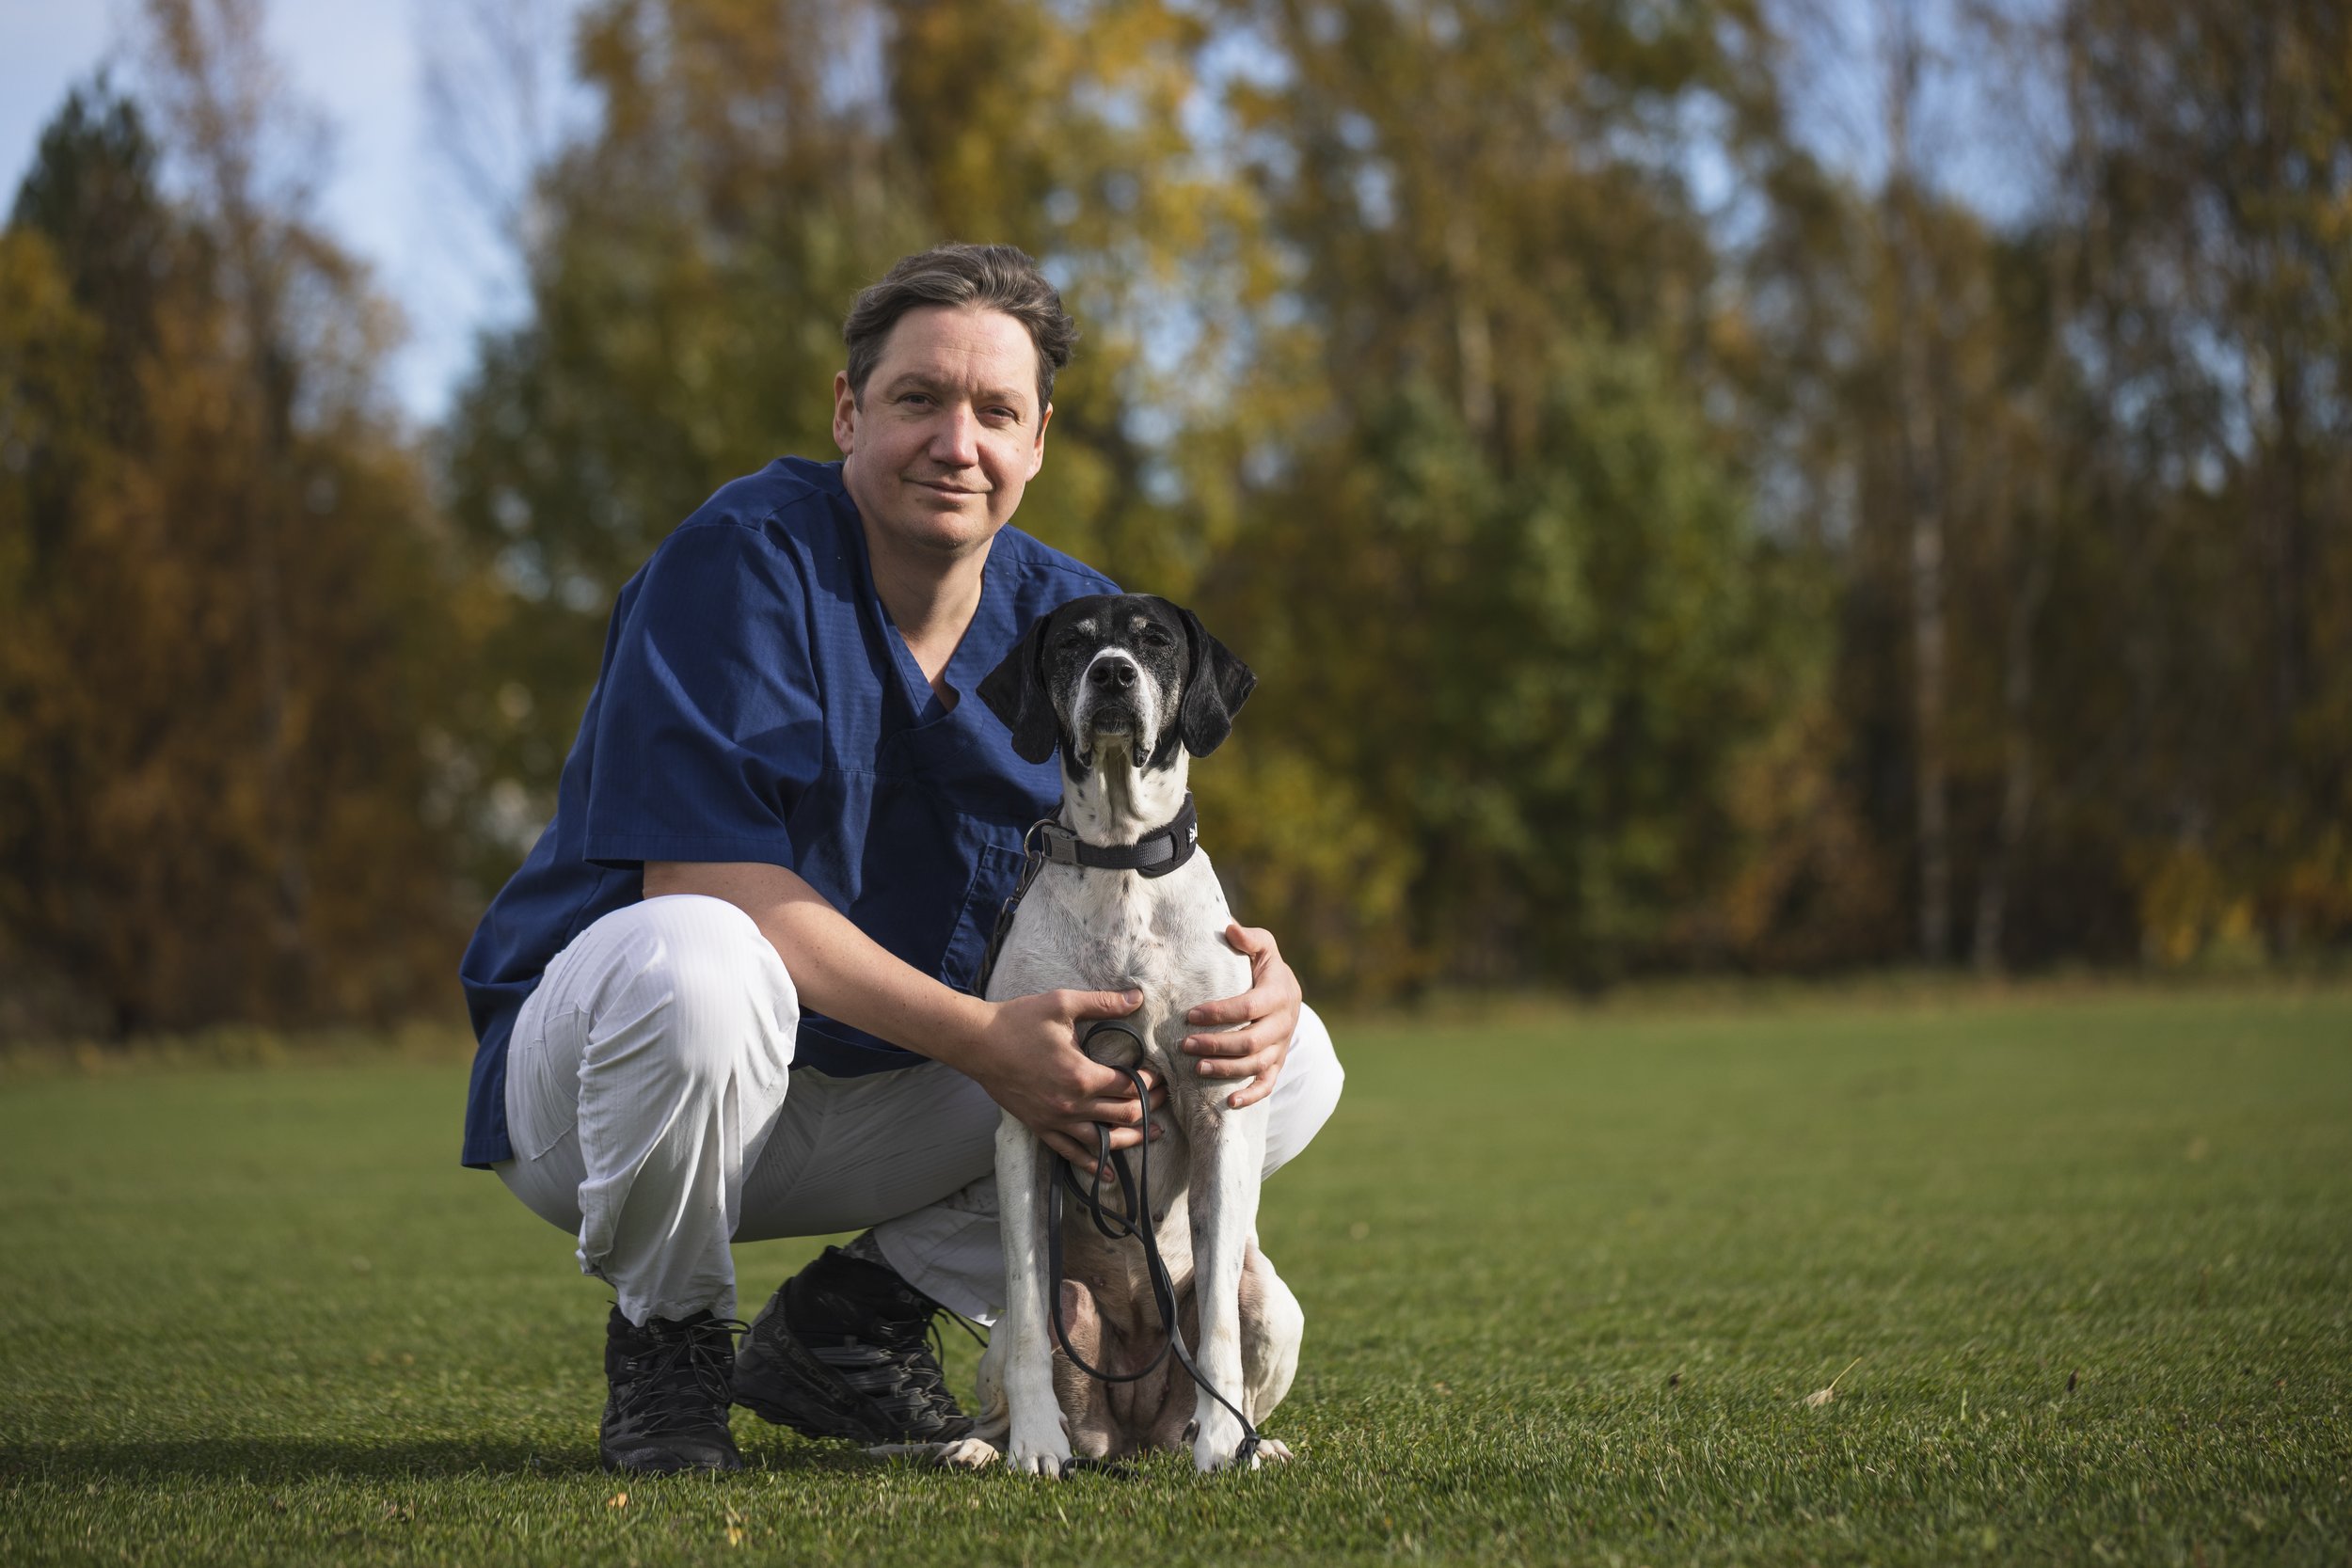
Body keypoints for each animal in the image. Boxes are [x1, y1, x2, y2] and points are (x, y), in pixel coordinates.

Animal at [932, 593, 1304, 1477]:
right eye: (1073, 642)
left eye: (1154, 641)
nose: (1111, 674)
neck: (1122, 861)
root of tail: (1131, 1432)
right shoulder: (1028, 1120)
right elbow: (1031, 1328)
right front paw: (1035, 1444)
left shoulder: (1221, 1108)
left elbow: (1218, 1333)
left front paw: (1223, 1448)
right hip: (1041, 1318)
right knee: (1022, 1347)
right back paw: (983, 1442)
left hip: (1273, 1299)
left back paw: (1249, 1439)